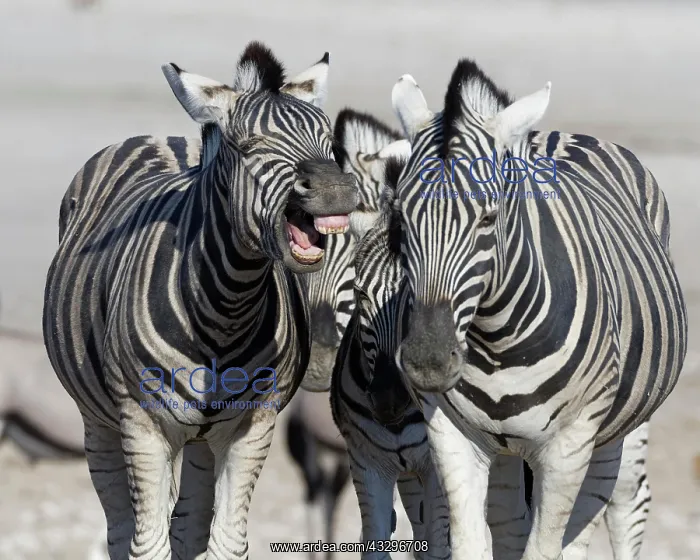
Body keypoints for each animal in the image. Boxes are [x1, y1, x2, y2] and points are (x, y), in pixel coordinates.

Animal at [42, 41, 359, 560]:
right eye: (248, 147)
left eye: (329, 142)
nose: (334, 189)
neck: (226, 307)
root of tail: (162, 136)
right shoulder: (143, 427)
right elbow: (146, 545)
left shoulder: (253, 426)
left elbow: (225, 542)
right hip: (99, 423)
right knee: (119, 527)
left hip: (201, 441)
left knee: (187, 525)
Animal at [388, 59, 686, 560]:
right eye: (400, 217)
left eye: (488, 218)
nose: (428, 362)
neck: (496, 337)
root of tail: (562, 133)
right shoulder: (451, 435)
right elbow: (474, 542)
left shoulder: (569, 446)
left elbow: (546, 548)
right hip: (510, 450)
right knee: (516, 522)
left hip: (621, 426)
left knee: (620, 503)